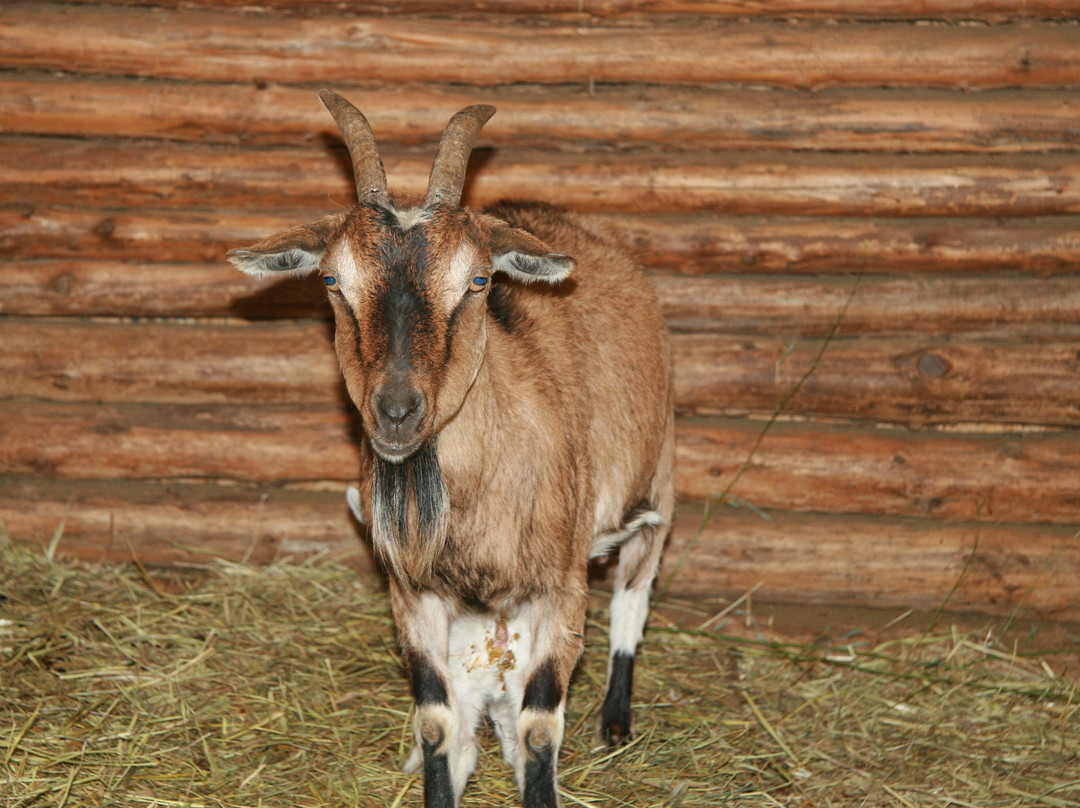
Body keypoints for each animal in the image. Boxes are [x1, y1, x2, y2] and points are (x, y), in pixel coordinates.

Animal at [227, 94, 669, 808]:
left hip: (660, 482)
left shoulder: (562, 584)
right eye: (331, 279)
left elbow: (541, 726)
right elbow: (436, 720)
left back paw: (615, 723)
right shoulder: (414, 594)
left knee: (635, 591)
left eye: (480, 280)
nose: (396, 411)